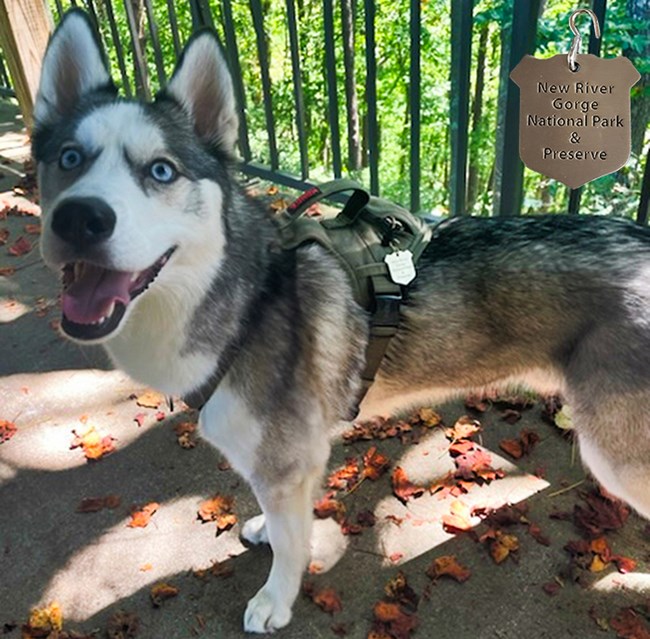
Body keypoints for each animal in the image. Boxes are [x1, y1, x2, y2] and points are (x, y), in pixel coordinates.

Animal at [34, 10, 648, 636]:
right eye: (68, 159)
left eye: (161, 170)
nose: (79, 219)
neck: (248, 297)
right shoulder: (291, 462)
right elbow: (286, 522)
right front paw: (269, 532)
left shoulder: (284, 460)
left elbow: (290, 545)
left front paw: (276, 600)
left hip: (618, 456)